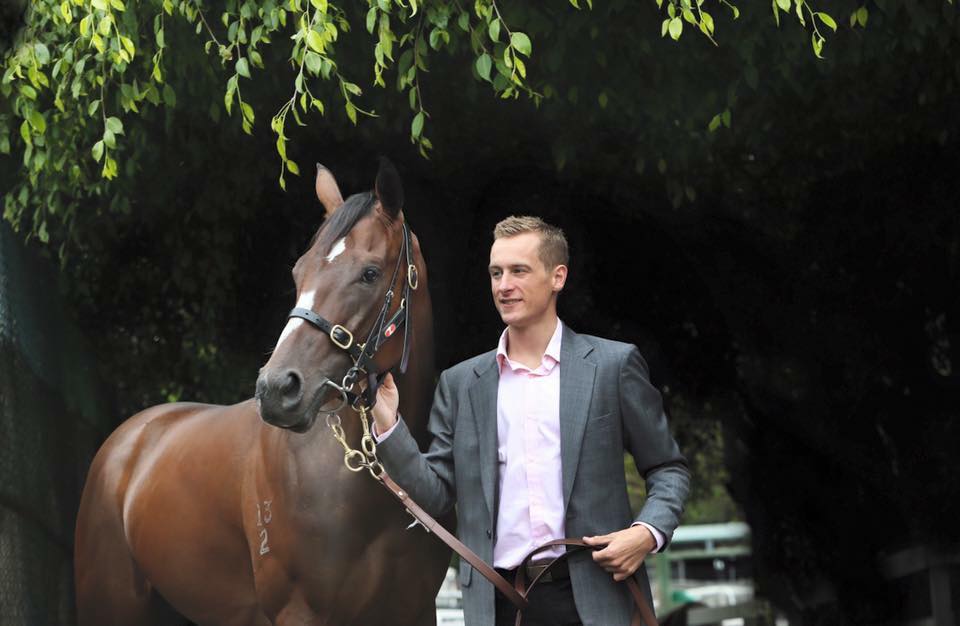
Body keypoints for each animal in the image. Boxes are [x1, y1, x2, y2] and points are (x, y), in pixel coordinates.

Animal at [75, 160, 450, 624]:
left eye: (370, 273)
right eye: (298, 273)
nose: (276, 388)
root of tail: (130, 438)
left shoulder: (414, 611)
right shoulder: (299, 611)